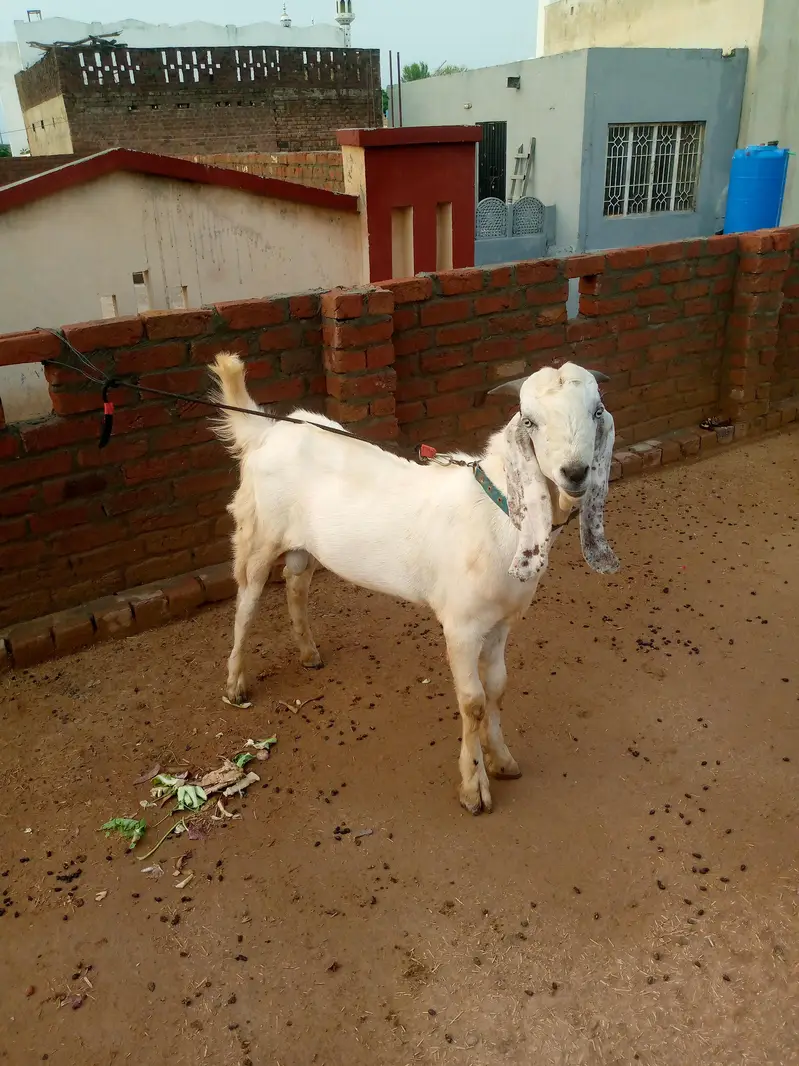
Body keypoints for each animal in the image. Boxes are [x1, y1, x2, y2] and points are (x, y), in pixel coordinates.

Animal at [209, 353, 619, 814]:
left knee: (295, 583)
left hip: (304, 545)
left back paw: (309, 653)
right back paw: (236, 683)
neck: (498, 515)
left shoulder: (500, 622)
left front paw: (502, 759)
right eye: (529, 421)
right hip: (258, 532)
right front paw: (473, 788)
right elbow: (473, 702)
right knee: (247, 600)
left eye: (597, 411)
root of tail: (267, 429)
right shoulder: (461, 625)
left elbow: (497, 688)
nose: (575, 473)